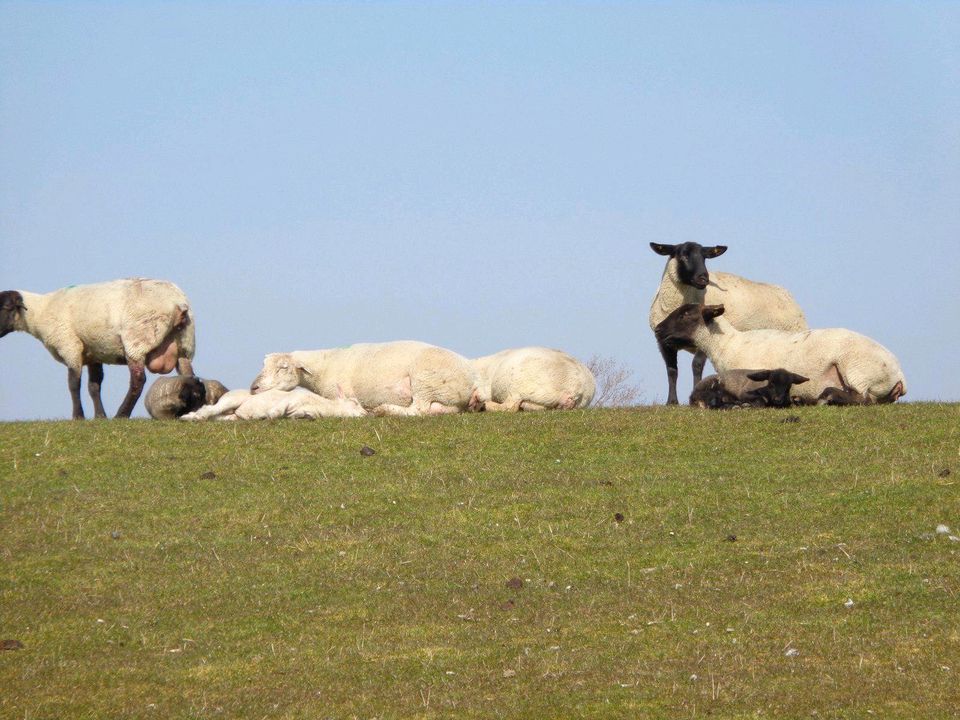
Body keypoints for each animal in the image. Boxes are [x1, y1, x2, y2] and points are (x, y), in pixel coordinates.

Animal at [0, 278, 197, 420]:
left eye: (6, 307)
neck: (40, 313)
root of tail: (177, 302)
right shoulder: (93, 354)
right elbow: (94, 386)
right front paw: (100, 416)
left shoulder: (70, 346)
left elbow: (74, 383)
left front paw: (78, 416)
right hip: (185, 344)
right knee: (190, 376)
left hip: (138, 340)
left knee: (138, 380)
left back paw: (121, 414)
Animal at [249, 342, 478, 416]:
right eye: (263, 364)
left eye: (283, 367)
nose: (254, 388)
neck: (326, 363)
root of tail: (472, 380)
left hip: (425, 380)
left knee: (418, 410)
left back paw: (383, 409)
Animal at [644, 243, 808, 404]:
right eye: (683, 255)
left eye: (705, 257)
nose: (703, 278)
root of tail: (786, 293)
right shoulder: (663, 342)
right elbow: (672, 371)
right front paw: (671, 402)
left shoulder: (706, 338)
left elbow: (696, 366)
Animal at [656, 304, 904, 404]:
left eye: (686, 314)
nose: (658, 329)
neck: (727, 344)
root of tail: (900, 377)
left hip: (857, 369)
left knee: (862, 399)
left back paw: (827, 396)